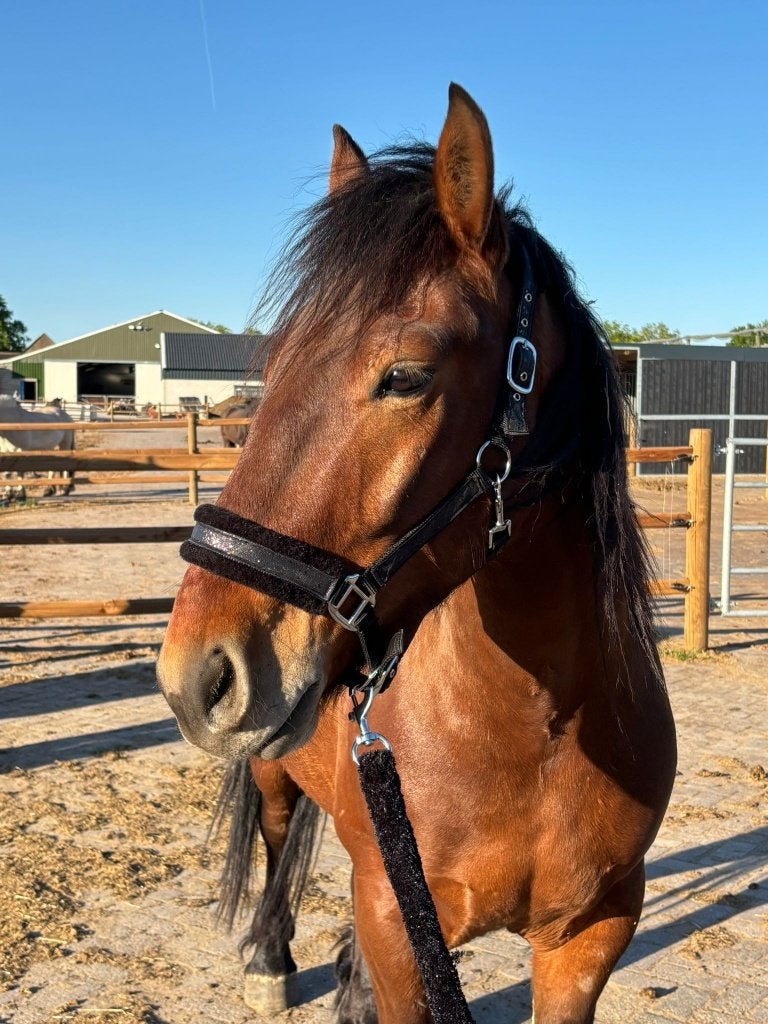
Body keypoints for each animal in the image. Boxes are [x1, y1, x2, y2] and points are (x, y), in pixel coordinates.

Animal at [157, 84, 676, 1024]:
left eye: (405, 376)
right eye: (271, 369)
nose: (196, 673)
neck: (537, 734)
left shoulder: (592, 938)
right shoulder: (399, 931)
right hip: (276, 773)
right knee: (278, 834)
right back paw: (271, 958)